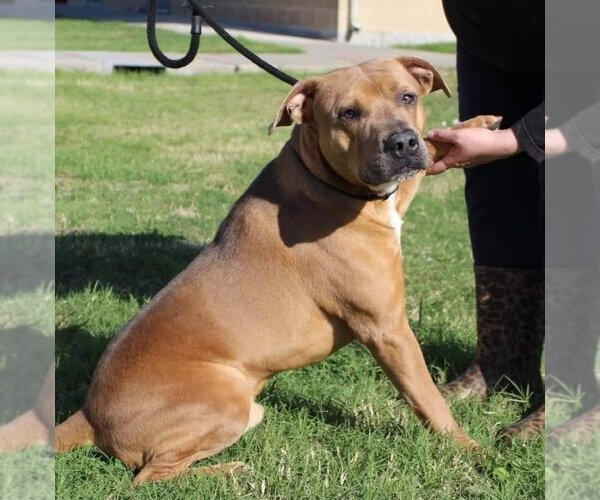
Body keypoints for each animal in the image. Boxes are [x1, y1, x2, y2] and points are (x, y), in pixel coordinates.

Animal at [56, 56, 500, 482]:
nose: (402, 142)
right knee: (150, 475)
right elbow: (428, 397)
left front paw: (473, 128)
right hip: (226, 404)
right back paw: (229, 473)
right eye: (348, 113)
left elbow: (424, 162)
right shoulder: (388, 329)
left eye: (408, 97)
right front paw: (473, 451)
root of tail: (89, 414)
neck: (323, 179)